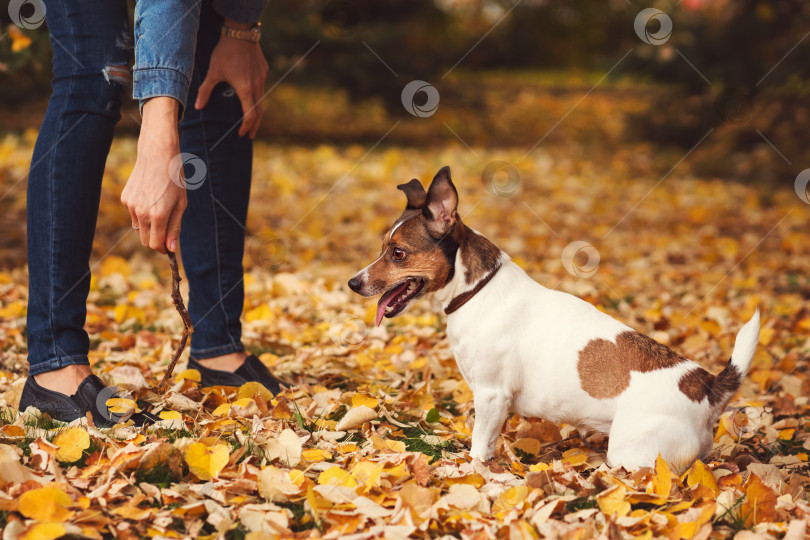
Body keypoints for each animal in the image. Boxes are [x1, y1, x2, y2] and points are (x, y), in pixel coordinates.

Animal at [348, 167, 756, 470]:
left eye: (398, 253)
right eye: (383, 247)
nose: (354, 283)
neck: (476, 291)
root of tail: (706, 385)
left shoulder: (491, 395)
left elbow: (478, 449)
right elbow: (489, 444)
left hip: (633, 452)